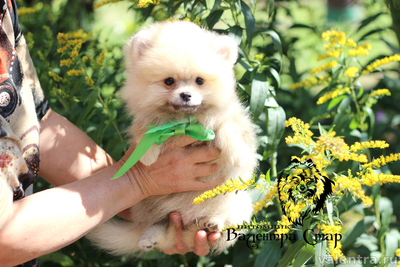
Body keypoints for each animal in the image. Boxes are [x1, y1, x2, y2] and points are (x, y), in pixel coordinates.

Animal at [86, 20, 260, 255]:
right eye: (169, 81)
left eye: (199, 81)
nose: (186, 95)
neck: (183, 122)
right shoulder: (147, 120)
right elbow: (145, 130)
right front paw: (147, 153)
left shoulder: (230, 119)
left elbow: (227, 128)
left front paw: (237, 153)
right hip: (154, 210)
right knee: (163, 228)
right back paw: (151, 238)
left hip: (238, 203)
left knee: (221, 226)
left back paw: (212, 223)